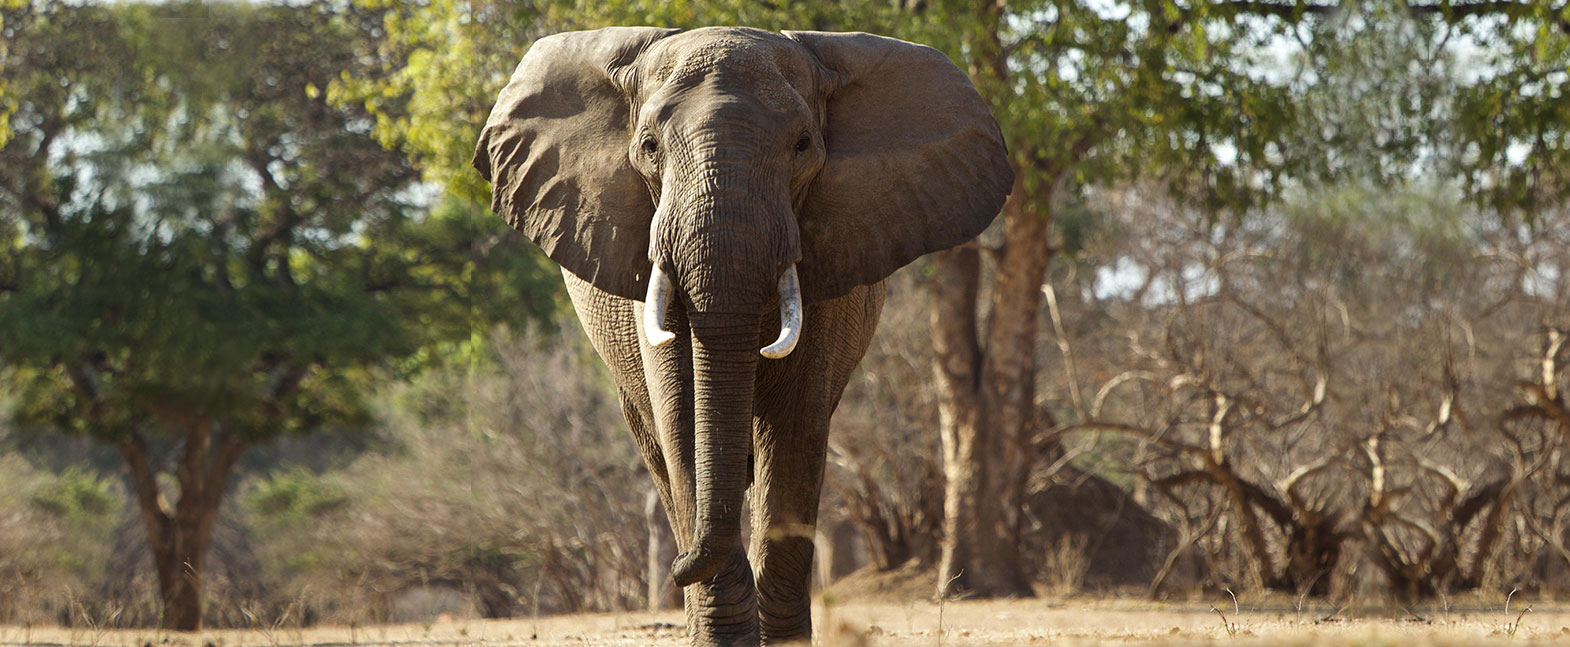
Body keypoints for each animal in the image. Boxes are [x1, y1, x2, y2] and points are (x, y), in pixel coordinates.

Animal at [477, 26, 1011, 647]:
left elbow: (797, 427)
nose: (674, 568)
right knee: (658, 450)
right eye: (650, 147)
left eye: (803, 145)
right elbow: (682, 418)